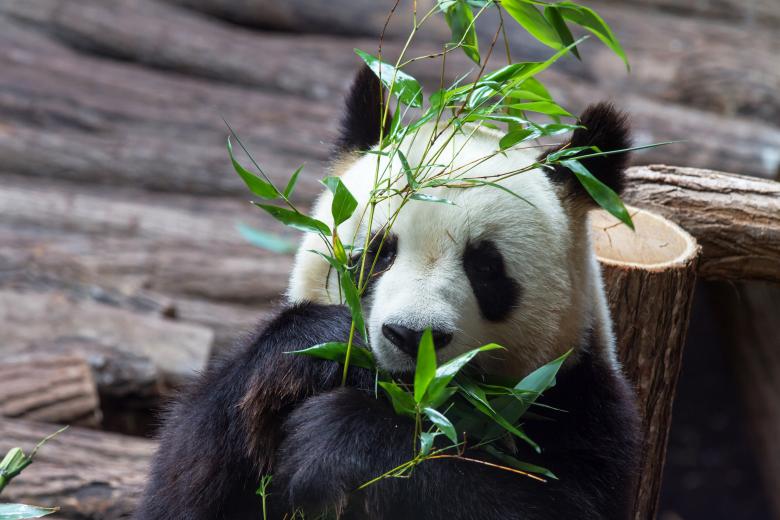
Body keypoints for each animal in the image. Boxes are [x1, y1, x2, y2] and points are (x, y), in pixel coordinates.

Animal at [135, 66, 640, 520]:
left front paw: (340, 440)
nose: (413, 337)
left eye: (485, 267)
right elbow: (185, 478)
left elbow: (532, 500)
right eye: (380, 252)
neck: (411, 402)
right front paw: (317, 348)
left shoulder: (578, 406)